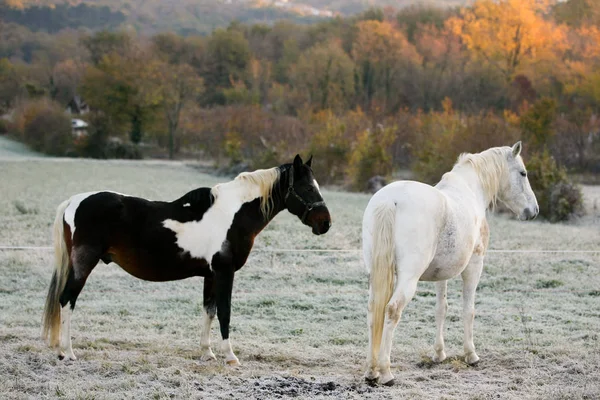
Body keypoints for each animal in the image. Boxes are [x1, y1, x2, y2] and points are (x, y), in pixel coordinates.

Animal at [42, 155, 332, 368]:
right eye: (307, 188)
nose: (325, 223)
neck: (233, 215)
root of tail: (74, 201)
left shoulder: (211, 275)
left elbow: (209, 311)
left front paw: (207, 353)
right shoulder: (225, 272)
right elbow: (225, 312)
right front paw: (230, 356)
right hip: (83, 265)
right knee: (67, 300)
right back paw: (67, 352)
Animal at [360, 142, 540, 386]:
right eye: (523, 173)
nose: (533, 210)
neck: (470, 190)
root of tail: (390, 201)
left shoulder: (440, 274)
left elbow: (441, 309)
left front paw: (439, 354)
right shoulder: (475, 264)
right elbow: (468, 310)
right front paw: (471, 355)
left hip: (375, 273)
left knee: (373, 309)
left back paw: (371, 371)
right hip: (408, 279)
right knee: (392, 310)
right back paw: (386, 372)